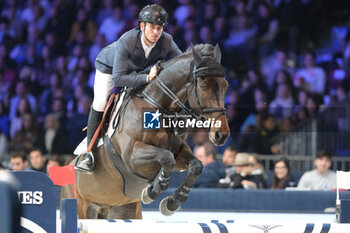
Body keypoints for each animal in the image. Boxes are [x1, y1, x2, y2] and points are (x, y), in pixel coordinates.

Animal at [60, 43, 230, 218]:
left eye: (226, 86)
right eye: (203, 86)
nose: (221, 134)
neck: (158, 105)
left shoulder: (179, 151)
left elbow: (196, 165)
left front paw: (172, 202)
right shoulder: (131, 157)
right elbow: (167, 158)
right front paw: (152, 191)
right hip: (80, 205)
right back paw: (87, 162)